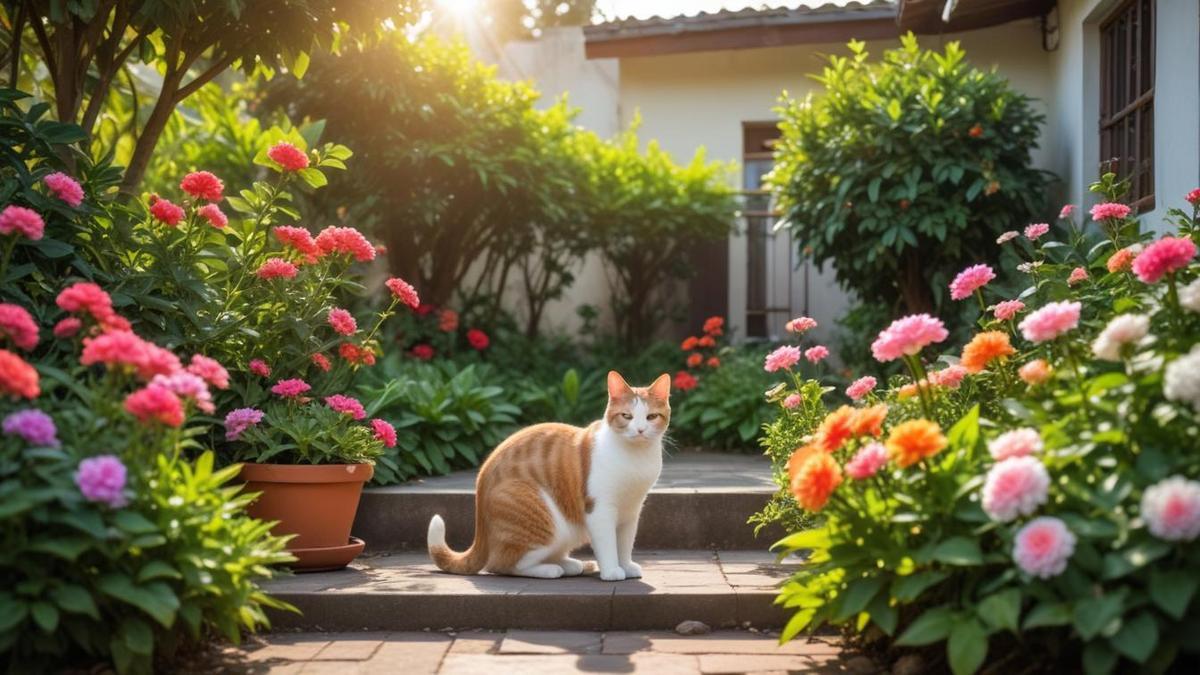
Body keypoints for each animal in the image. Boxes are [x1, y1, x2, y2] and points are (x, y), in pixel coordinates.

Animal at [424, 367, 672, 578]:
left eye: (651, 417)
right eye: (626, 416)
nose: (640, 430)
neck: (635, 458)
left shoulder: (631, 511)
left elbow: (625, 543)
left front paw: (626, 565)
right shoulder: (600, 509)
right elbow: (608, 544)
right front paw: (612, 571)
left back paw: (572, 564)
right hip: (546, 521)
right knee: (502, 564)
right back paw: (550, 570)